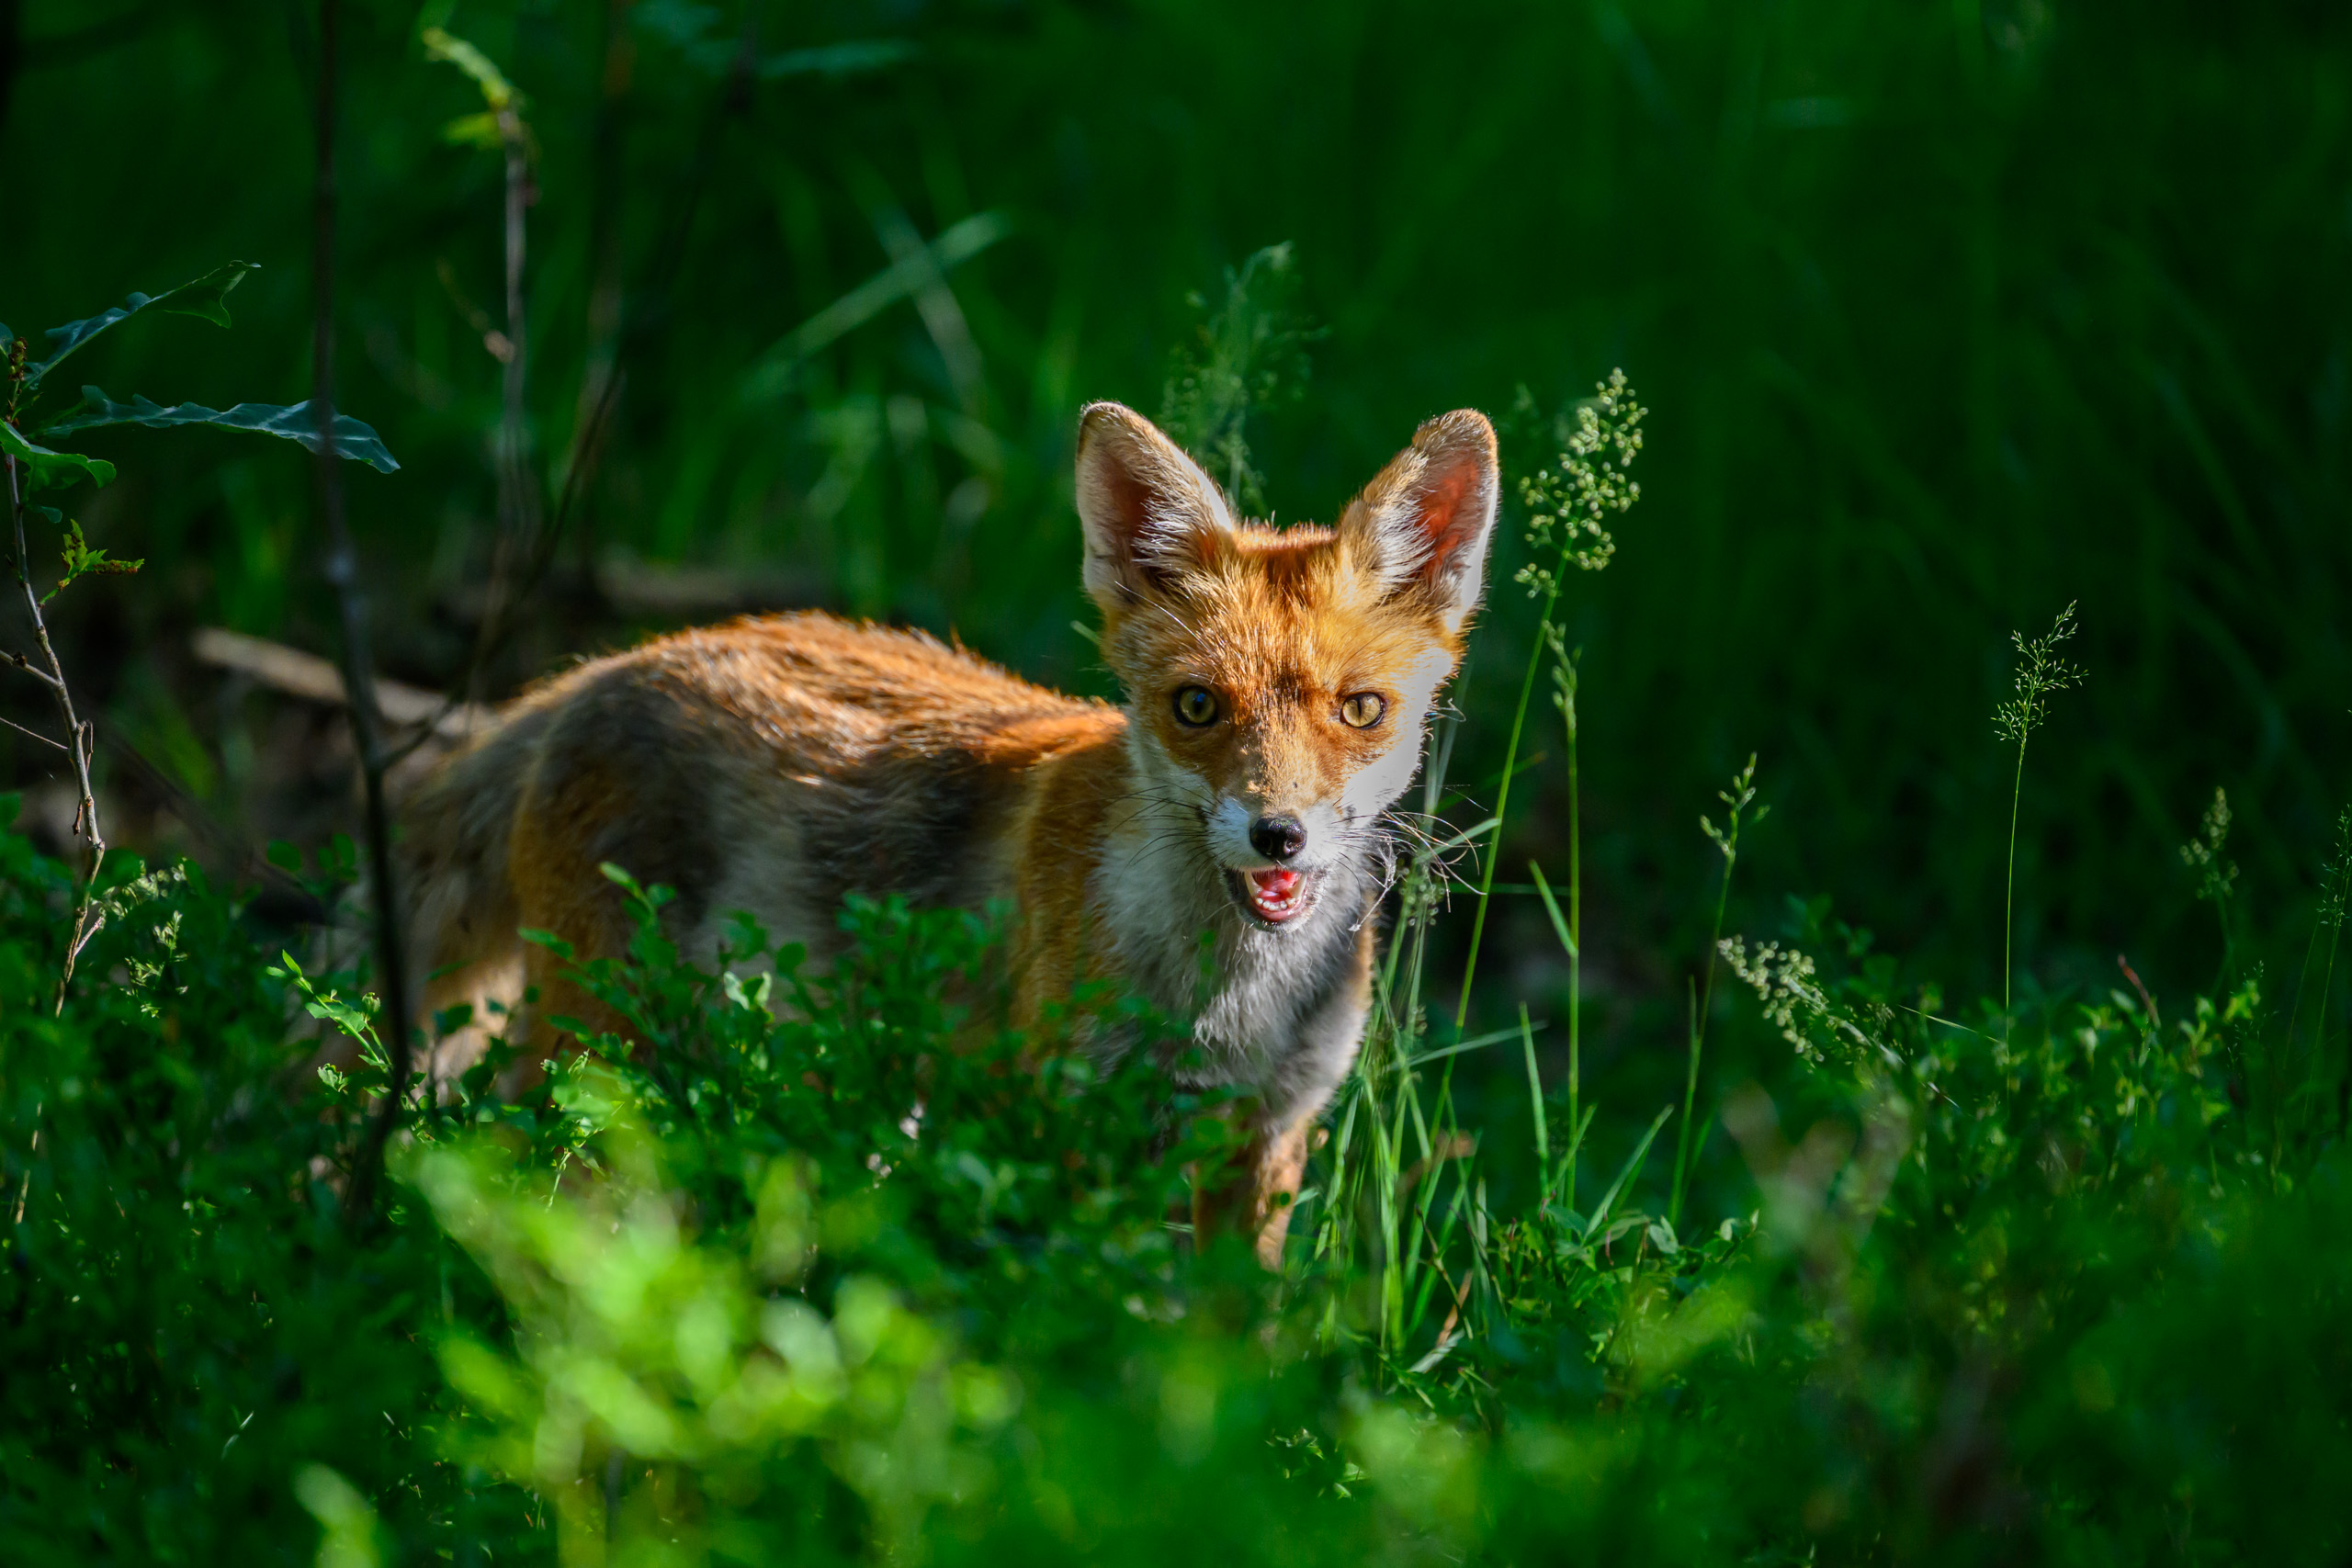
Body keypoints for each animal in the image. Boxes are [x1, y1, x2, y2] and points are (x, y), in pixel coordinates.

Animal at [401, 400, 1500, 1264]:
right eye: (1196, 706)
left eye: (1360, 711)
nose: (1279, 836)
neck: (1226, 1006)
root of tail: (604, 667)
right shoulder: (1065, 1123)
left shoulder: (1265, 1135)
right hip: (600, 1046)